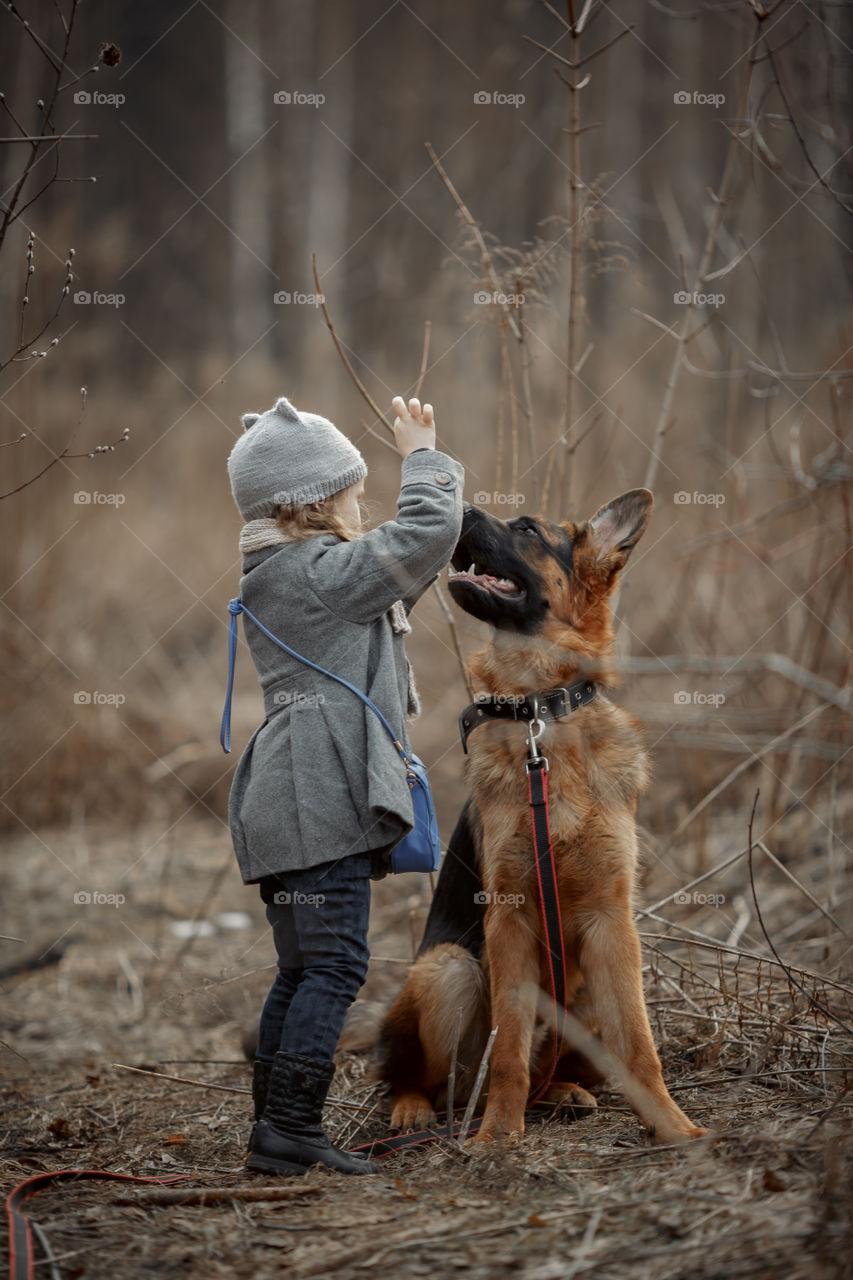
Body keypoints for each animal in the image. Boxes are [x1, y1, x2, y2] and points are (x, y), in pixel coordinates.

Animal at [371, 491, 701, 1152]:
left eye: (526, 529)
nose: (458, 504)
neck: (539, 717)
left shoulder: (612, 922)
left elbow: (640, 1046)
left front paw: (672, 1125)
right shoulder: (509, 920)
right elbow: (508, 1051)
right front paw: (500, 1134)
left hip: (587, 990)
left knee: (557, 1066)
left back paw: (563, 1093)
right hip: (450, 969)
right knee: (427, 1078)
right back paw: (420, 1110)